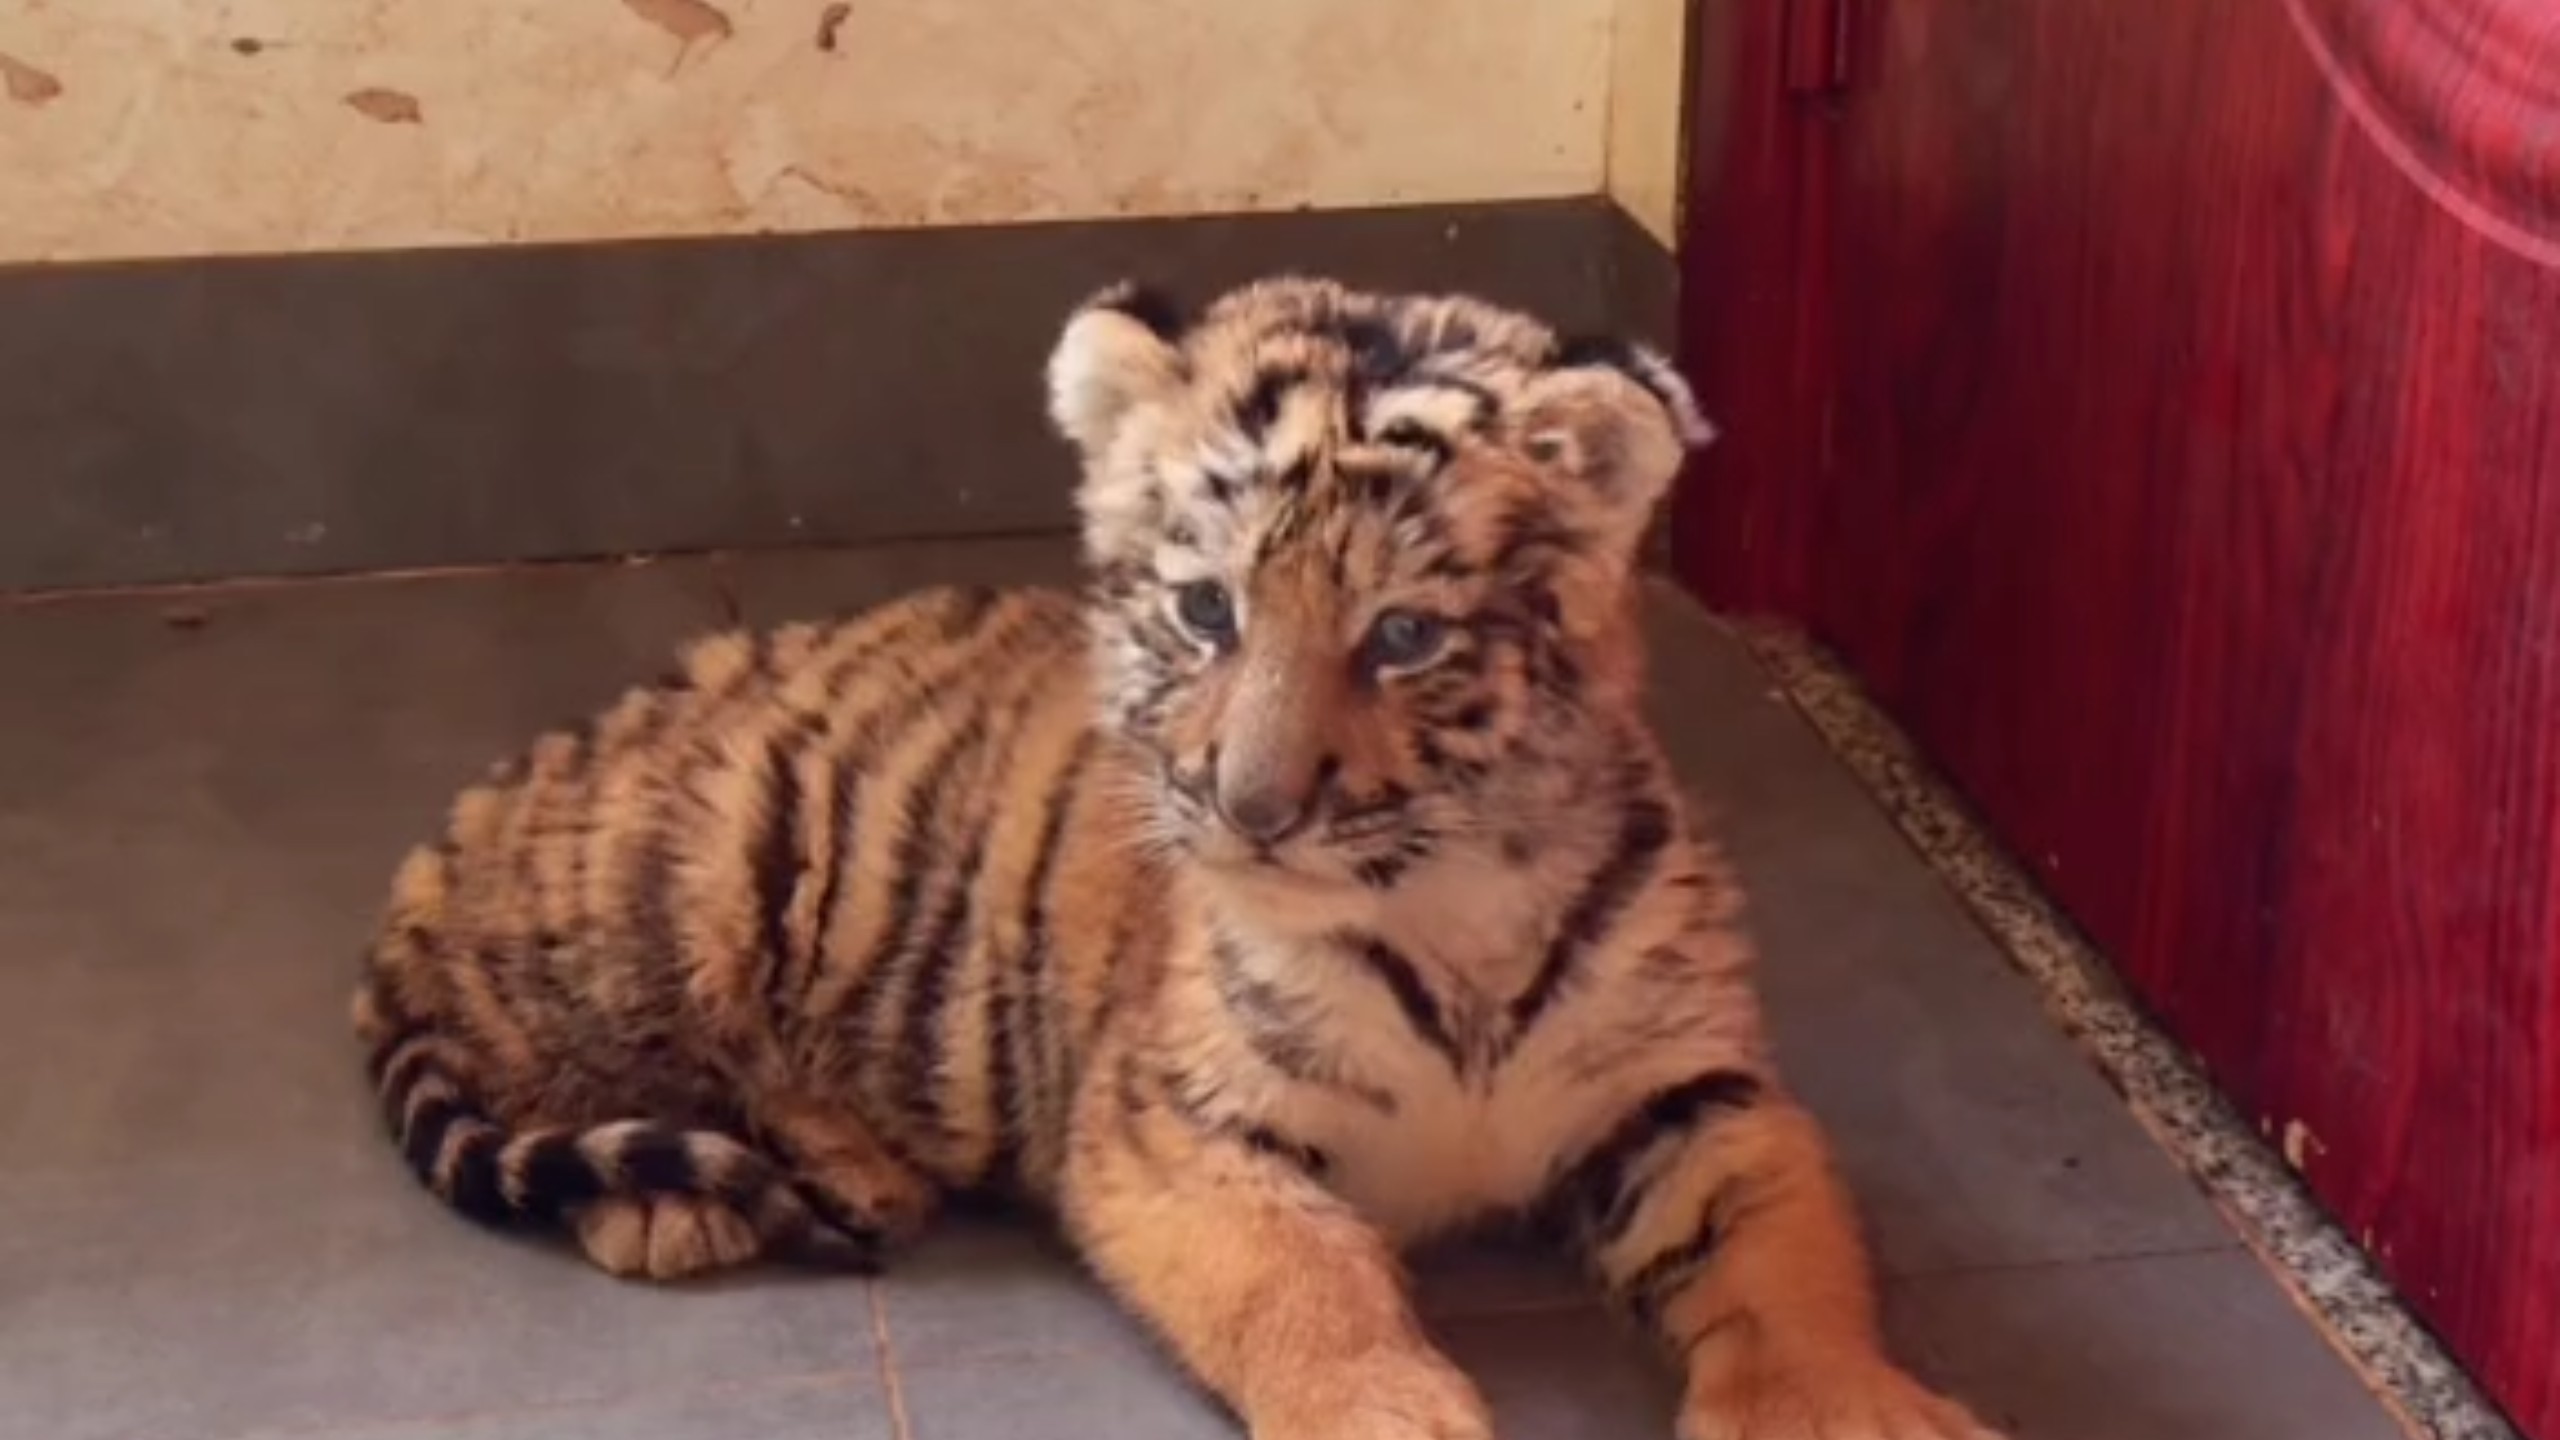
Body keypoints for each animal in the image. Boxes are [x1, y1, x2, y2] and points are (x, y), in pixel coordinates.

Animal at [351, 275, 2001, 1440]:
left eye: (1403, 637)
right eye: (1208, 611)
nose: (1250, 807)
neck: (1453, 908)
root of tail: (452, 838)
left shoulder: (1696, 1092)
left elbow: (1785, 1260)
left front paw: (1849, 1410)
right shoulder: (1178, 1126)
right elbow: (1305, 1290)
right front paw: (1393, 1415)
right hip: (692, 879)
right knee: (591, 1083)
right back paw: (681, 1206)